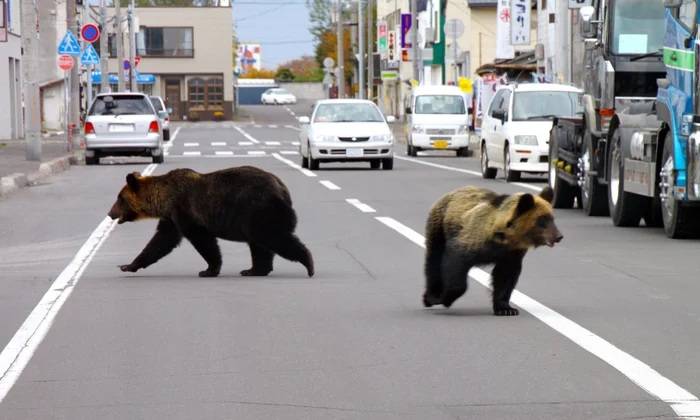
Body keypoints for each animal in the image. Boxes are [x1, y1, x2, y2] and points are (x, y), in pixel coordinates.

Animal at [108, 166, 314, 278]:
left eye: (119, 198)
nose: (110, 213)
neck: (164, 199)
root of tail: (283, 188)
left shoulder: (185, 211)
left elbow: (203, 240)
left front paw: (208, 269)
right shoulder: (171, 217)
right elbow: (160, 241)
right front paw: (128, 265)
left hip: (259, 209)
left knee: (273, 237)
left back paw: (309, 264)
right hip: (254, 217)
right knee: (259, 244)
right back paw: (253, 269)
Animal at [422, 186, 562, 316]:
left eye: (552, 218)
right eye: (542, 220)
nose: (559, 236)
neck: (504, 238)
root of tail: (452, 192)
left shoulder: (511, 254)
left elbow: (505, 277)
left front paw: (506, 309)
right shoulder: (471, 240)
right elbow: (455, 263)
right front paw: (444, 298)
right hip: (439, 226)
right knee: (434, 259)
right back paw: (430, 296)